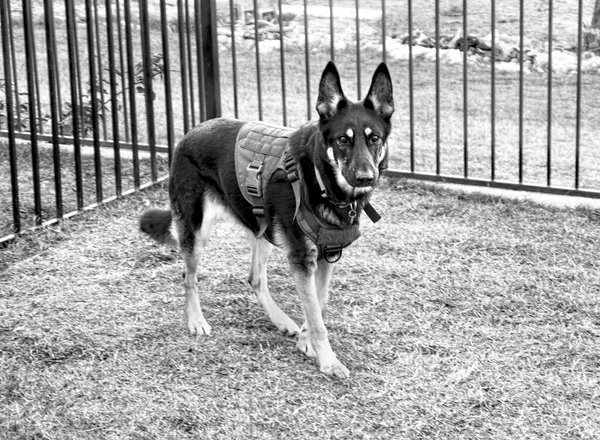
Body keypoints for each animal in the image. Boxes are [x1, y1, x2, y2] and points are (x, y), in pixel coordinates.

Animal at [140, 62, 394, 378]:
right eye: (343, 140)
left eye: (374, 138)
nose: (365, 178)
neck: (320, 179)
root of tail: (191, 132)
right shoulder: (302, 259)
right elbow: (316, 314)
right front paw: (328, 360)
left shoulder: (325, 257)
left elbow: (318, 303)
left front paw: (305, 341)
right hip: (196, 232)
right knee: (189, 277)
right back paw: (196, 321)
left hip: (262, 230)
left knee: (255, 278)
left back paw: (282, 321)